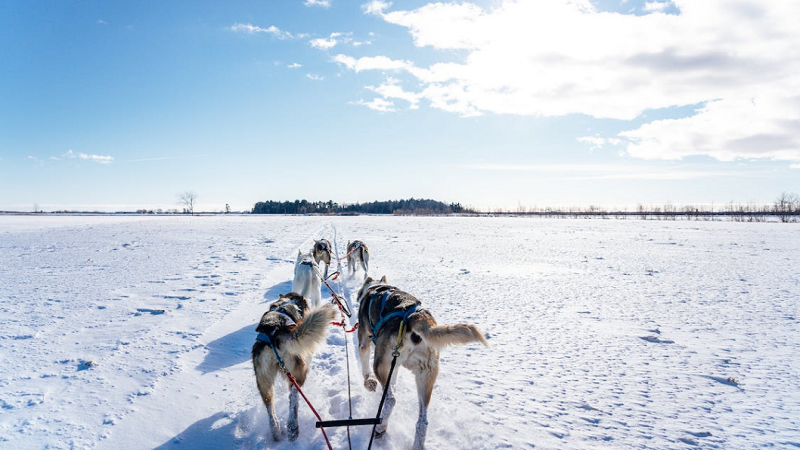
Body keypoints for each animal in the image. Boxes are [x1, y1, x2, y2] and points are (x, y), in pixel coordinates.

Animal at [252, 294, 336, 442]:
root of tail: (274, 334)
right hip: (299, 372)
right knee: (294, 396)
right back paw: (292, 427)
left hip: (264, 381)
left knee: (269, 406)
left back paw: (276, 431)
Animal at [356, 276, 488, 448]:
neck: (377, 287)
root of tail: (415, 318)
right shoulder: (393, 367)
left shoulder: (365, 344)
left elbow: (365, 366)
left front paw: (368, 382)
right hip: (425, 376)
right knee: (422, 422)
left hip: (381, 366)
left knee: (391, 399)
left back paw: (380, 426)